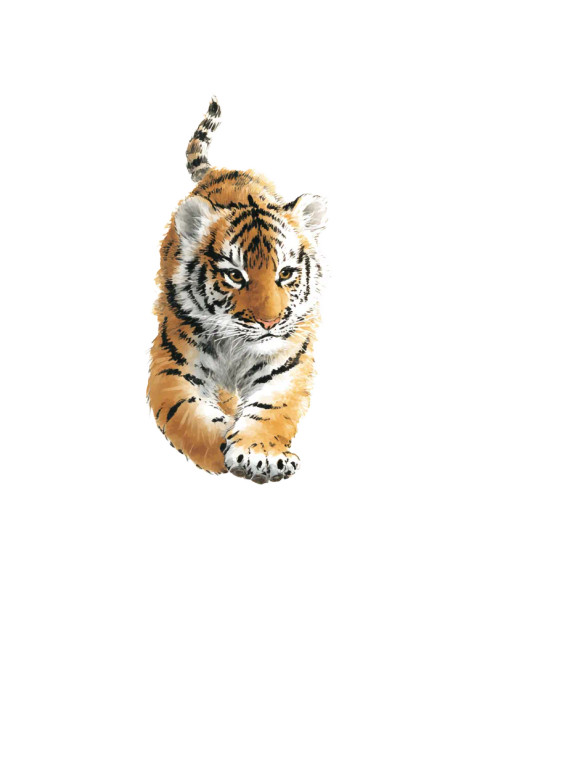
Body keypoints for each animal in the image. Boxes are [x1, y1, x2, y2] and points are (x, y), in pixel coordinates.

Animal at [147, 98, 327, 483]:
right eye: (234, 275)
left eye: (285, 273)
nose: (269, 323)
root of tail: (222, 170)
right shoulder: (173, 367)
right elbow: (191, 419)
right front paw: (224, 450)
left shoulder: (287, 364)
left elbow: (271, 409)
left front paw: (261, 454)